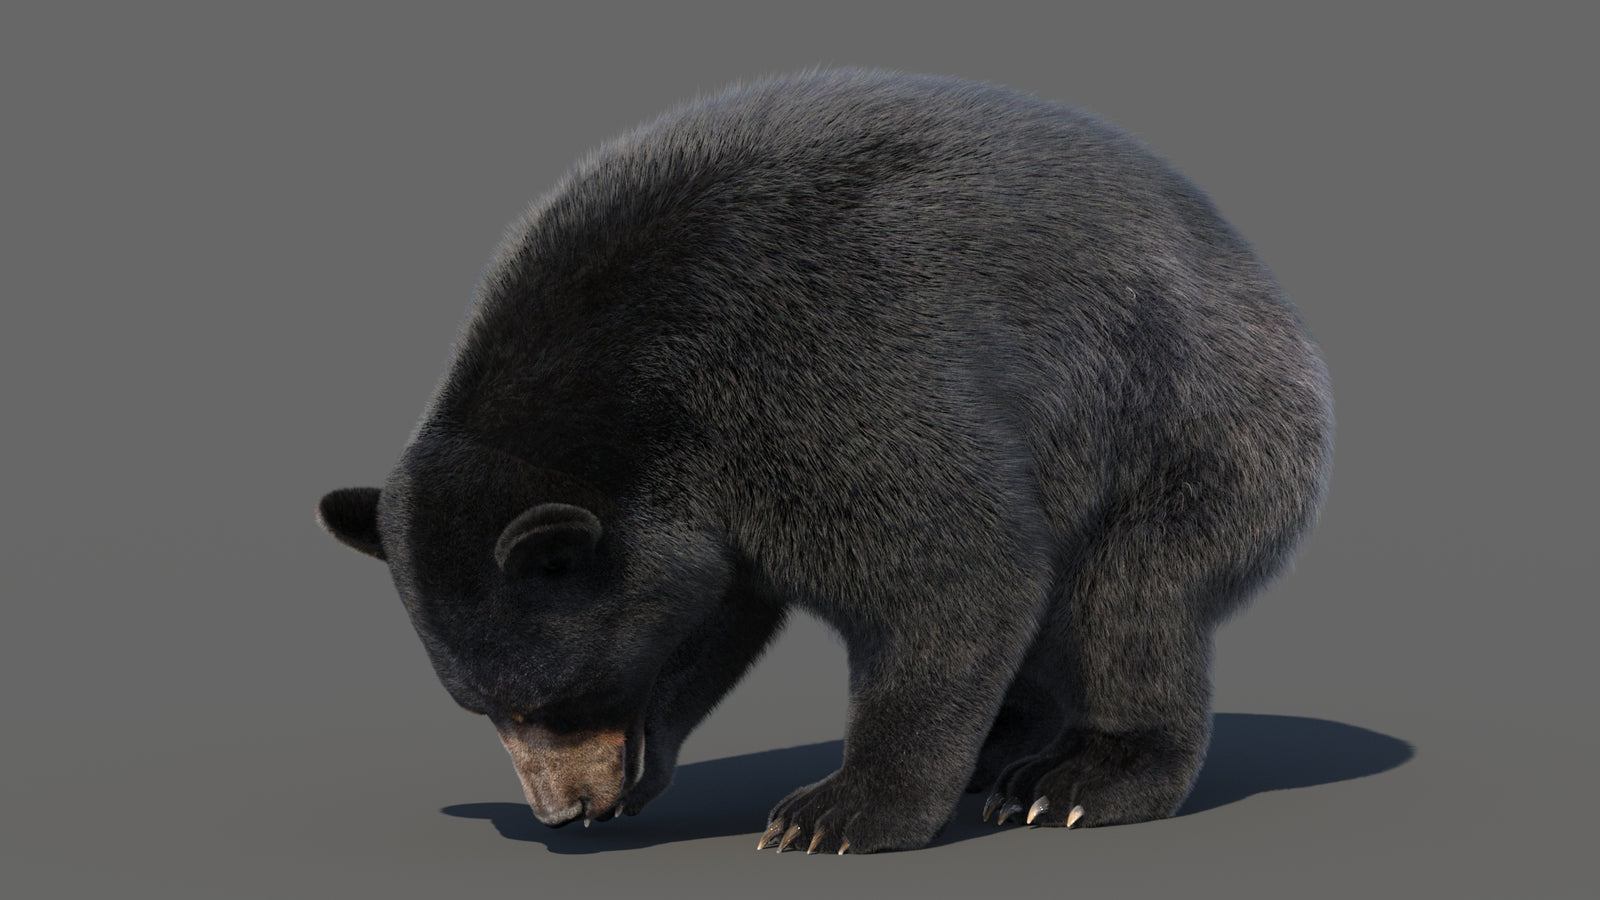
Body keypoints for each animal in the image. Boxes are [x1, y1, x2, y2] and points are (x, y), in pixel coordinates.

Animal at [317, 68, 1332, 855]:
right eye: (480, 706)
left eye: (552, 699)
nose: (564, 812)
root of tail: (1266, 285)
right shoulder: (708, 500)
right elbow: (711, 612)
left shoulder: (821, 375)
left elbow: (955, 567)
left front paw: (839, 812)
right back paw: (1005, 745)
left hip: (1186, 424)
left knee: (1129, 600)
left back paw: (1077, 779)